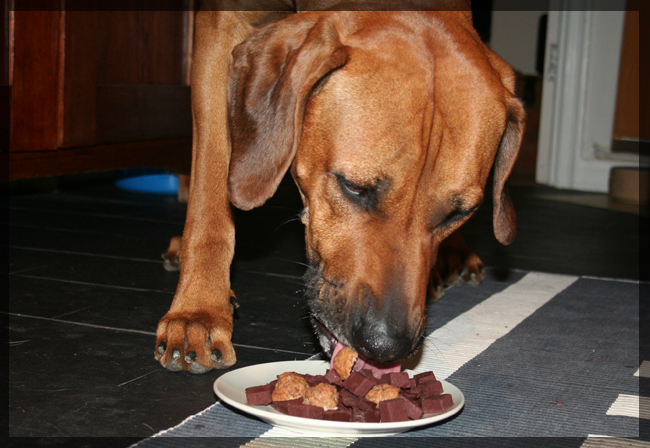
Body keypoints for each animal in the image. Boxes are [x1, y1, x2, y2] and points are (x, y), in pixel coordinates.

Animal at [156, 1, 520, 374]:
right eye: (354, 188)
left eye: (457, 214)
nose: (386, 345)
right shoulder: (218, 30)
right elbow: (210, 189)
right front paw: (198, 310)